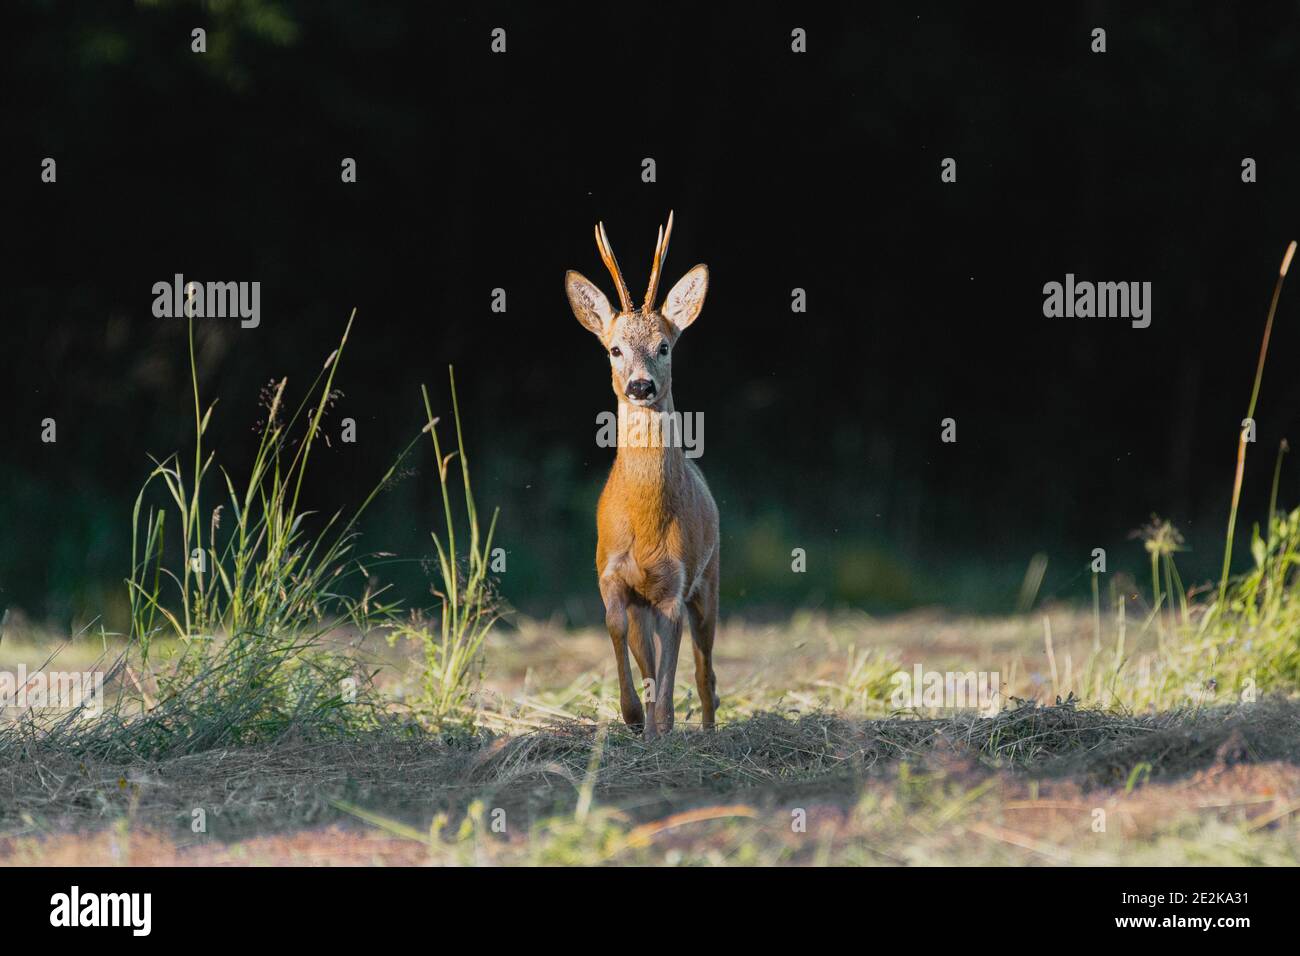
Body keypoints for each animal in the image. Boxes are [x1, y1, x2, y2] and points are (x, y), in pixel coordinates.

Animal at [561, 214, 717, 738]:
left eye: (664, 346)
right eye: (614, 349)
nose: (641, 385)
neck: (646, 522)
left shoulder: (675, 584)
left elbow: (671, 666)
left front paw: (660, 727)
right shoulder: (610, 572)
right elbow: (620, 634)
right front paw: (631, 715)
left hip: (709, 579)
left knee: (704, 664)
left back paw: (708, 728)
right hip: (646, 603)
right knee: (651, 652)